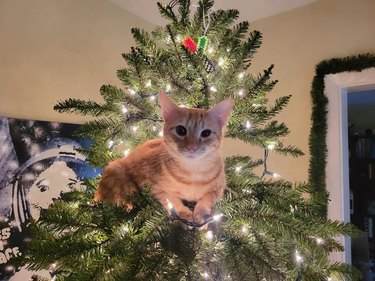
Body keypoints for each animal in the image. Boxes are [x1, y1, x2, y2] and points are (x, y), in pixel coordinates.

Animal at [94, 92, 232, 223]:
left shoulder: (219, 189)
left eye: (206, 133)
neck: (193, 172)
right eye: (181, 130)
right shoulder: (154, 188)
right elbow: (172, 201)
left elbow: (206, 199)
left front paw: (200, 215)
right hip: (120, 176)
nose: (192, 147)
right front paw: (185, 215)